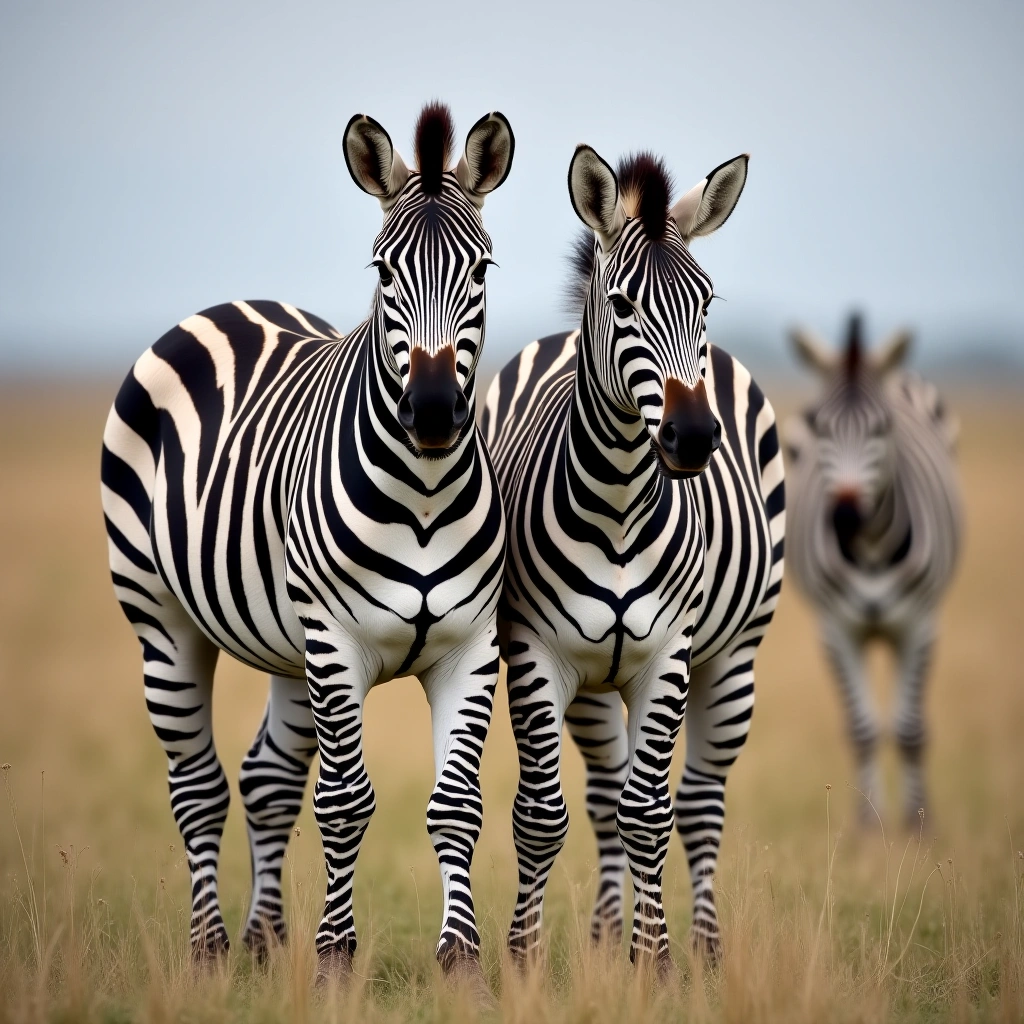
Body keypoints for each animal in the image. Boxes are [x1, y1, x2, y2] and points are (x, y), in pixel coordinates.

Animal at [100, 102, 515, 978]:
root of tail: (230, 306)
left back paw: (262, 942)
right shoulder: (337, 642)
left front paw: (461, 959)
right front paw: (335, 960)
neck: (424, 492)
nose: (433, 412)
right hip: (167, 625)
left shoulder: (471, 645)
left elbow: (457, 804)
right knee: (197, 785)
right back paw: (211, 949)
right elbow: (346, 802)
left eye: (482, 270)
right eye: (384, 271)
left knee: (266, 778)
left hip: (289, 650)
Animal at [482, 146, 785, 968]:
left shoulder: (668, 655)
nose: (693, 437)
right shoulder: (536, 652)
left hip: (734, 659)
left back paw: (703, 950)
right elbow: (543, 814)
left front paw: (656, 962)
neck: (618, 504)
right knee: (603, 797)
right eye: (621, 305)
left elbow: (651, 814)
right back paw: (605, 936)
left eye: (705, 302)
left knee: (699, 803)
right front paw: (525, 960)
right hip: (592, 684)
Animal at [784, 313, 961, 827]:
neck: (872, 550)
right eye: (820, 426)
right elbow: (862, 728)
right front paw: (866, 826)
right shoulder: (835, 627)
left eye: (883, 427)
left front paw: (919, 825)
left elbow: (910, 729)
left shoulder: (921, 624)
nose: (844, 518)